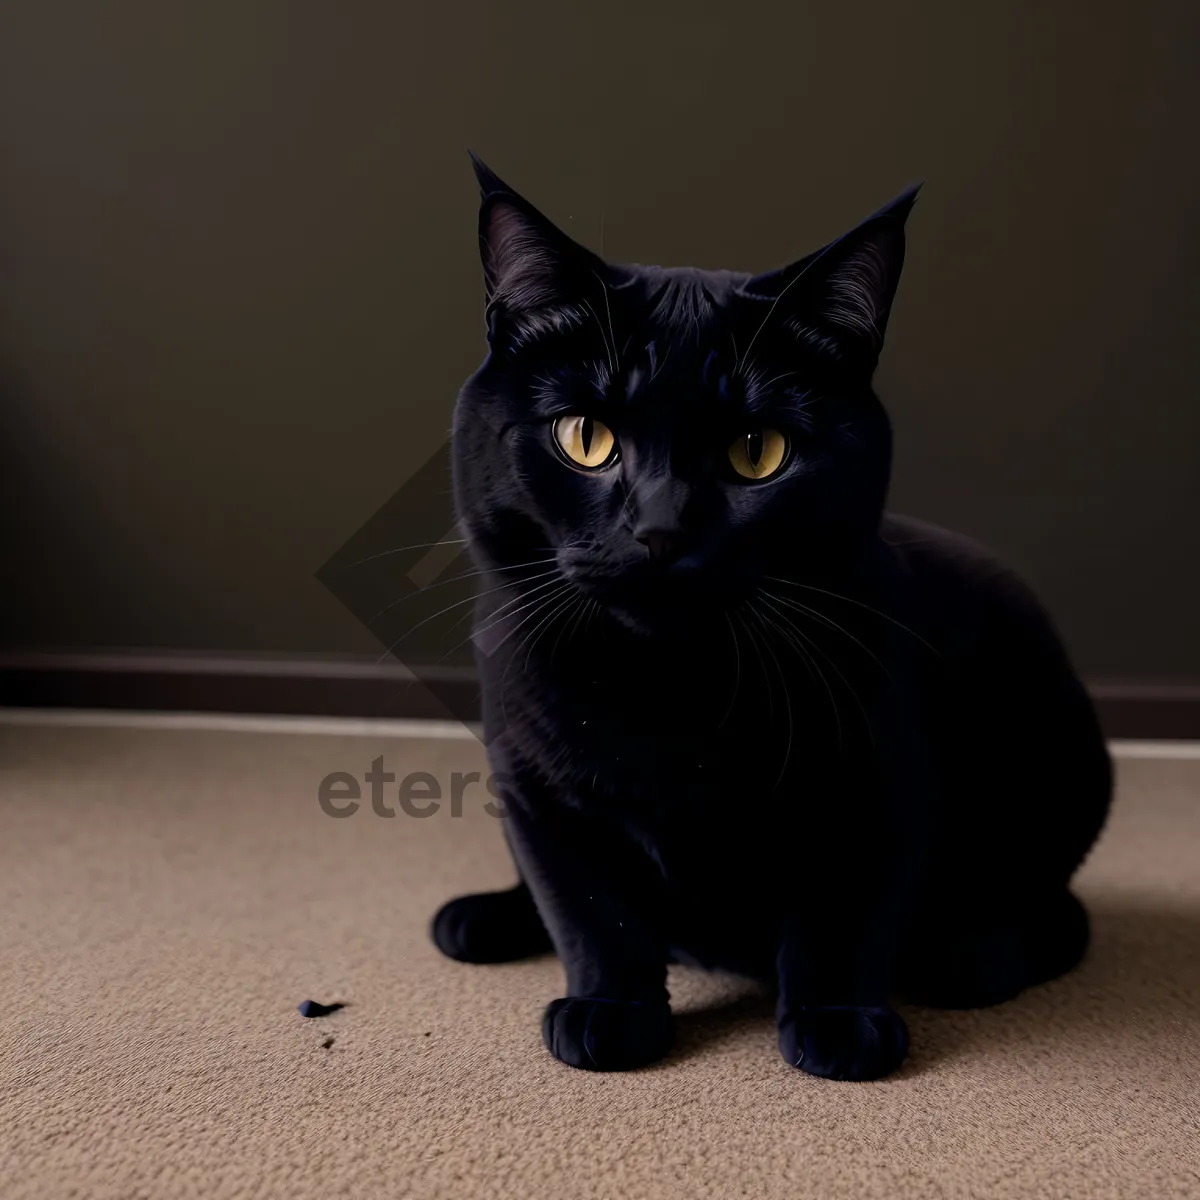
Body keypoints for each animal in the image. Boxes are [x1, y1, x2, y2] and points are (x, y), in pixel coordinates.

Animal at [427, 154, 1108, 1084]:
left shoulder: (877, 782)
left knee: (1059, 910)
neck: (668, 692)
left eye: (758, 453)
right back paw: (482, 918)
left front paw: (839, 1023)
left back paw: (974, 951)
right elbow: (593, 912)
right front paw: (612, 1010)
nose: (659, 530)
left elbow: (840, 915)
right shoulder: (538, 792)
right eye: (585, 438)